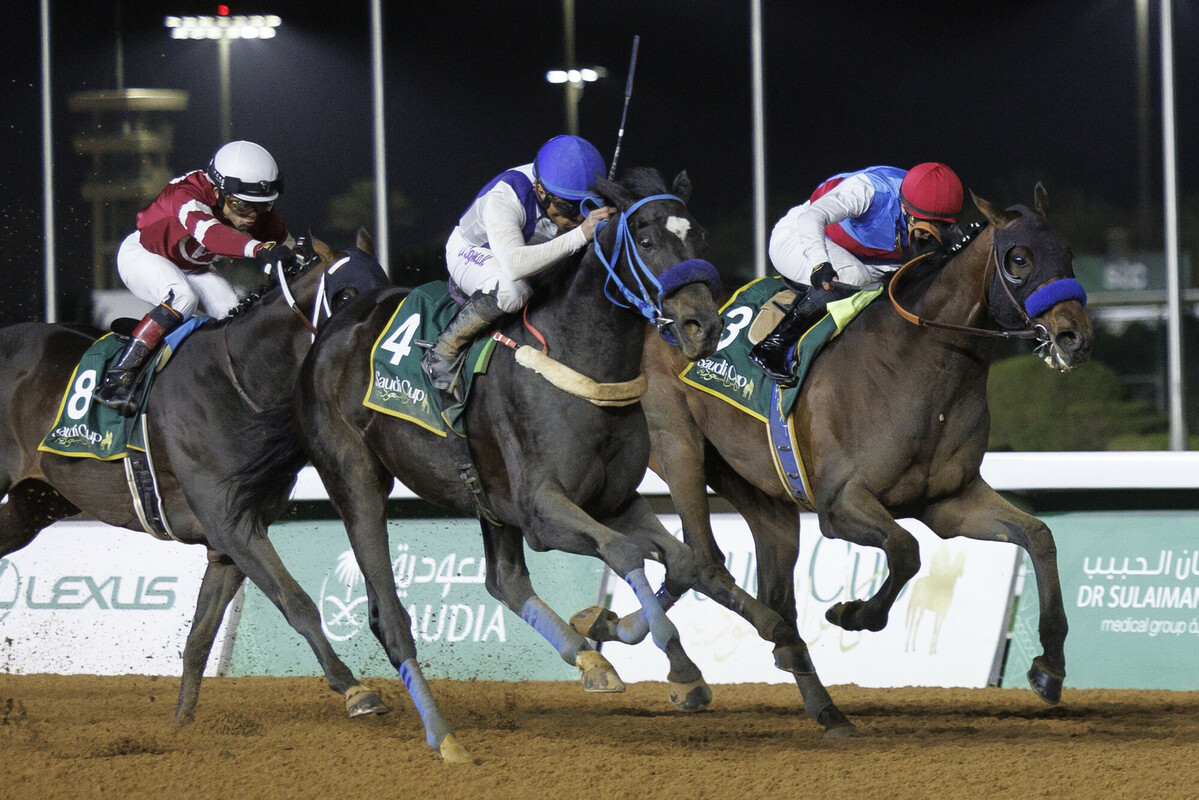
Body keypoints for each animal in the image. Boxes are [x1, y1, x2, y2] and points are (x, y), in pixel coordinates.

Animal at [0, 230, 388, 724]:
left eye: (386, 287)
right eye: (346, 295)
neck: (240, 381)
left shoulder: (232, 538)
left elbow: (200, 638)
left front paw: (181, 725)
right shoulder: (231, 525)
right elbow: (297, 603)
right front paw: (355, 689)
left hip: (37, 502)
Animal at [575, 184, 1093, 734]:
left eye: (1068, 254)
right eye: (1019, 258)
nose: (1075, 338)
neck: (920, 363)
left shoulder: (949, 502)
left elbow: (1038, 536)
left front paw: (1049, 668)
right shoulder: (839, 504)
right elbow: (906, 549)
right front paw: (854, 614)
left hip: (758, 489)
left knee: (732, 581)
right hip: (679, 447)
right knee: (704, 562)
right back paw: (702, 669)